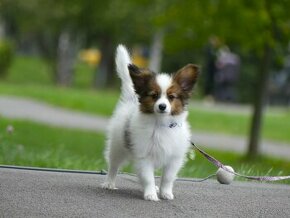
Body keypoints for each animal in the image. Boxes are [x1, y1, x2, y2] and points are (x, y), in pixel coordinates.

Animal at [102, 44, 199, 201]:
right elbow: (148, 177)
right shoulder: (144, 156)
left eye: (171, 97)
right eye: (154, 96)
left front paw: (165, 193)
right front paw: (150, 194)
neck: (161, 124)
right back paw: (109, 183)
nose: (162, 106)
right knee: (113, 166)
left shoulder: (174, 158)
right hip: (117, 146)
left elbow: (167, 178)